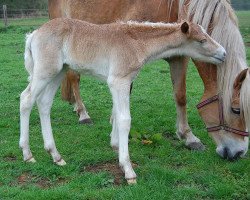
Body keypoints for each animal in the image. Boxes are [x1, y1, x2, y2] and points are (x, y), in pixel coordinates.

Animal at [20, 18, 226, 183]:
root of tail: (35, 34)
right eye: (201, 41)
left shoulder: (123, 82)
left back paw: (55, 155)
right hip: (45, 71)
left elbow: (117, 115)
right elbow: (125, 120)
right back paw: (28, 154)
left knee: (44, 103)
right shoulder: (119, 81)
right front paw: (128, 170)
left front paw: (116, 148)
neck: (136, 43)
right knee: (26, 99)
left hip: (59, 71)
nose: (224, 53)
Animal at [47, 0, 249, 159]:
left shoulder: (179, 56)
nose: (239, 153)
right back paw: (83, 114)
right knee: (74, 77)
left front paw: (188, 137)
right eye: (236, 110)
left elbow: (180, 96)